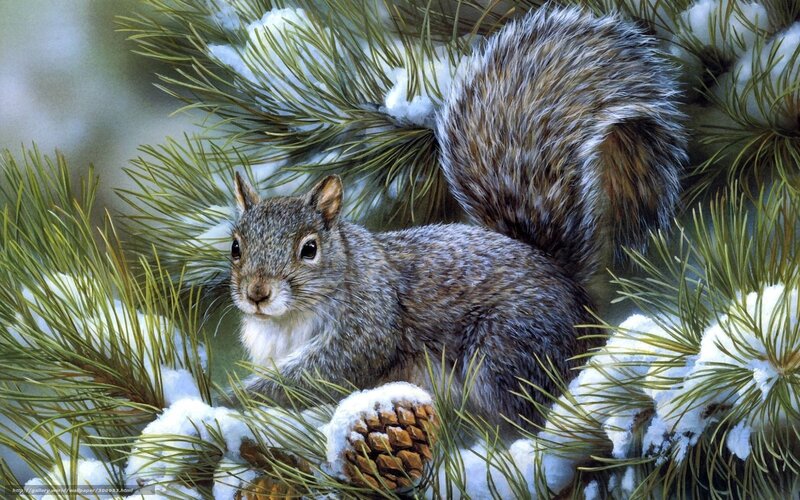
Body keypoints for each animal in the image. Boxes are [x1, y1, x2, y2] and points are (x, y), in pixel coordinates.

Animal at [227, 7, 686, 430]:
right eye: (235, 247)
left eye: (309, 249)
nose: (257, 293)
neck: (288, 320)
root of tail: (574, 293)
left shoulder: (368, 323)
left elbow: (324, 374)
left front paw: (241, 398)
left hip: (506, 350)